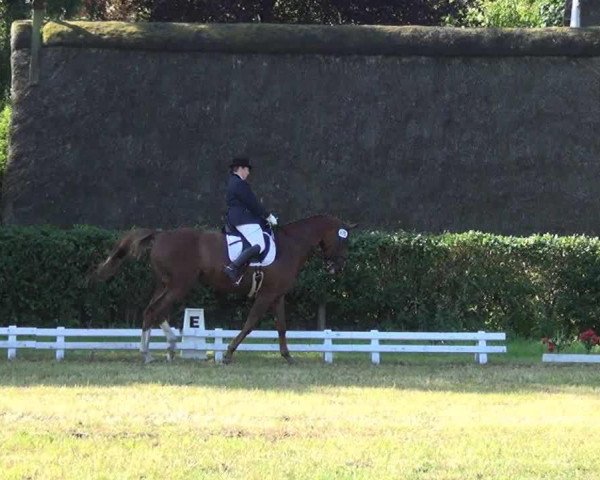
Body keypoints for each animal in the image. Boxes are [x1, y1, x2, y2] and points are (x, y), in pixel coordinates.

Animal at [94, 214, 356, 364]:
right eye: (343, 239)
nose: (338, 267)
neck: (291, 245)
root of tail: (160, 234)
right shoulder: (267, 295)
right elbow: (250, 323)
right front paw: (229, 353)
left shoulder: (277, 295)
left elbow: (281, 326)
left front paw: (287, 356)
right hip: (179, 285)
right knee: (155, 311)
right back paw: (154, 351)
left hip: (165, 284)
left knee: (151, 311)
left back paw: (161, 348)